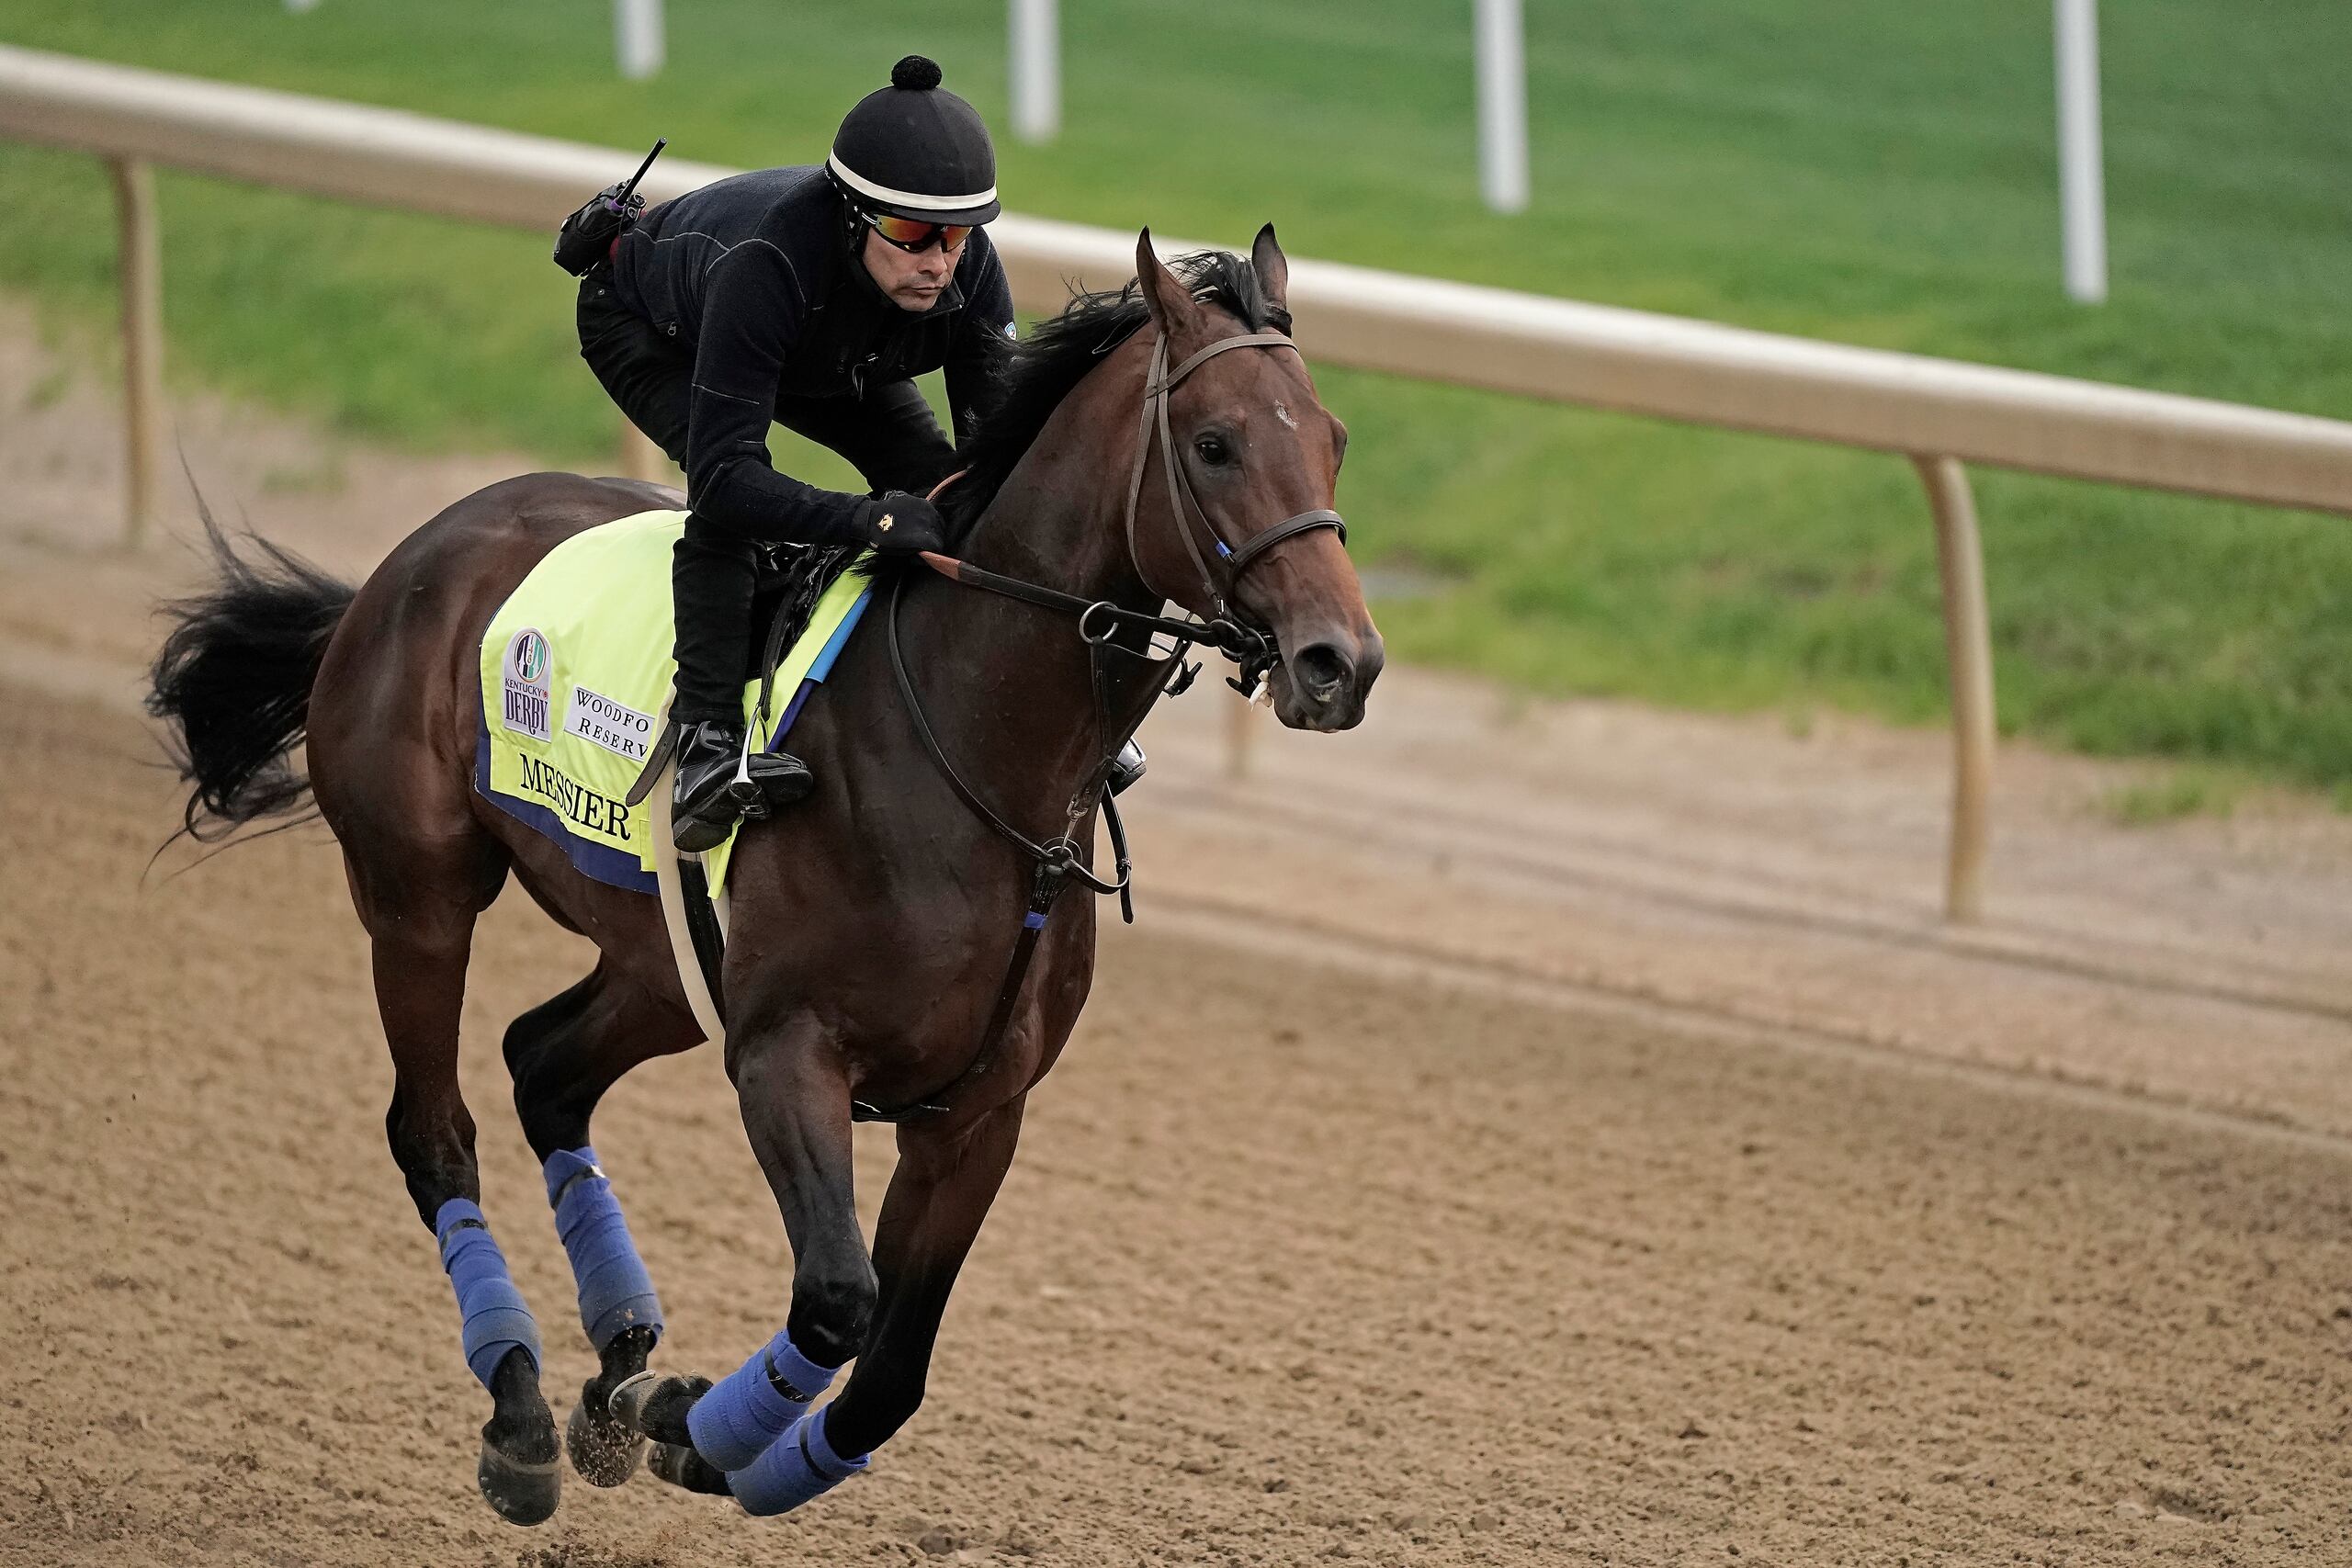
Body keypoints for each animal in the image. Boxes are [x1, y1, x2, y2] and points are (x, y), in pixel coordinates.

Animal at [147, 226, 1374, 1523]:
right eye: (1215, 443)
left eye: (1335, 437)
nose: (1339, 663)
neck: (978, 755)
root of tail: (406, 561)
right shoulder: (786, 1053)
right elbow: (839, 1300)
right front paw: (697, 1425)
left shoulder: (979, 1109)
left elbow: (891, 1370)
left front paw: (697, 1430)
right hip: (419, 896)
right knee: (433, 1127)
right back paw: (523, 1408)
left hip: (664, 965)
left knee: (543, 1065)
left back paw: (615, 1363)